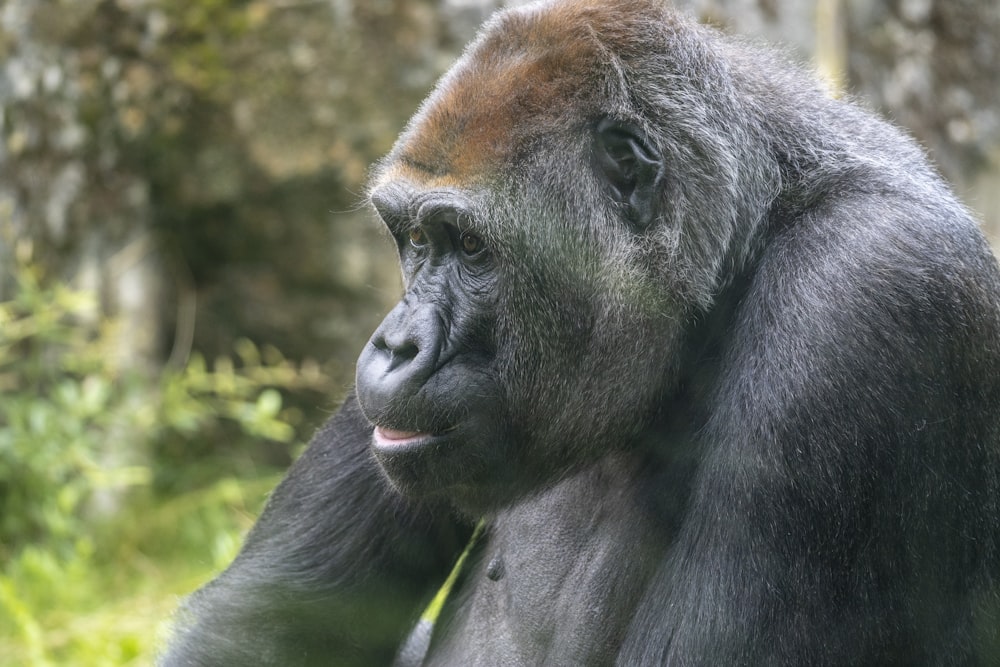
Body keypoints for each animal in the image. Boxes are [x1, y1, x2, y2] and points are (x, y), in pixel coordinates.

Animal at [162, 1, 1000, 667]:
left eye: (472, 247)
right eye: (415, 240)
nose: (394, 345)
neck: (746, 235)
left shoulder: (863, 293)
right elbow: (263, 624)